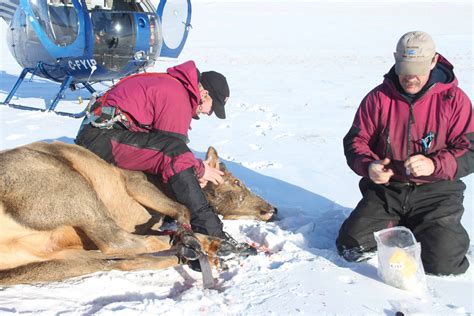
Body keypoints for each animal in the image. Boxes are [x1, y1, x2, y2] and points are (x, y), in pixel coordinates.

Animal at [0, 142, 274, 286]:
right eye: (237, 182)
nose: (272, 208)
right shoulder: (135, 181)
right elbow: (182, 210)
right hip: (71, 185)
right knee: (119, 243)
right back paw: (206, 245)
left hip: (54, 262)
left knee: (120, 260)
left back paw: (195, 252)